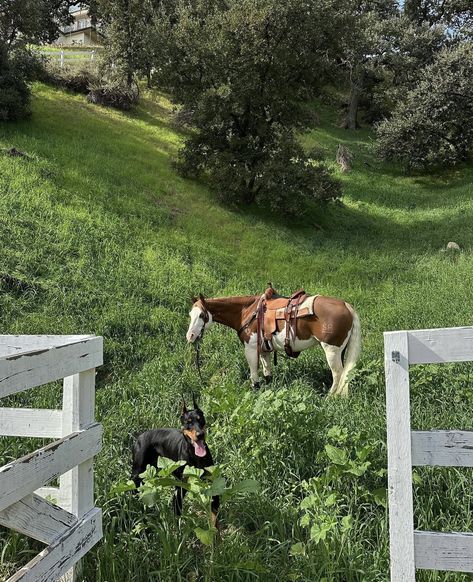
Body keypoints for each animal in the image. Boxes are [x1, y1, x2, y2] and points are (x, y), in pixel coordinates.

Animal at [129, 396, 218, 524]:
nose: (200, 434)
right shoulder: (180, 487)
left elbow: (214, 516)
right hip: (137, 471)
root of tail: (139, 436)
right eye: (188, 422)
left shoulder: (211, 483)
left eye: (200, 419)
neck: (194, 454)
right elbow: (177, 511)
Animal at [186, 286, 360, 400]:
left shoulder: (250, 348)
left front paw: (255, 390)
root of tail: (346, 306)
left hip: (331, 350)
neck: (246, 311)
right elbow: (267, 372)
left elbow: (254, 374)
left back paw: (330, 397)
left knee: (338, 374)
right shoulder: (264, 349)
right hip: (340, 351)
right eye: (190, 314)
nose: (190, 336)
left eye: (202, 315)